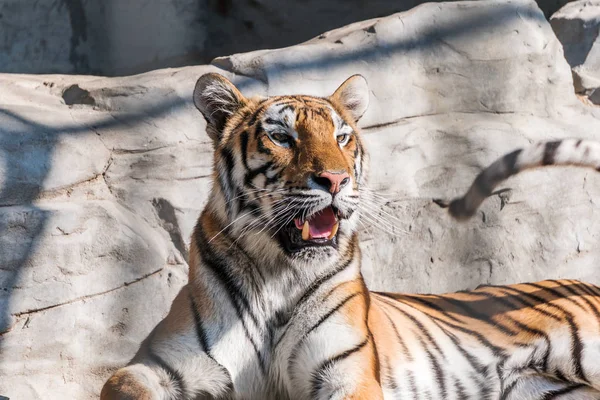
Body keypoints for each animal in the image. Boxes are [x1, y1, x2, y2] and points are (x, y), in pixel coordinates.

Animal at [101, 72, 600, 400]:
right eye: (282, 137)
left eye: (342, 137)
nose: (336, 180)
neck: (278, 273)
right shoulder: (160, 365)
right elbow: (120, 384)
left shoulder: (346, 372)